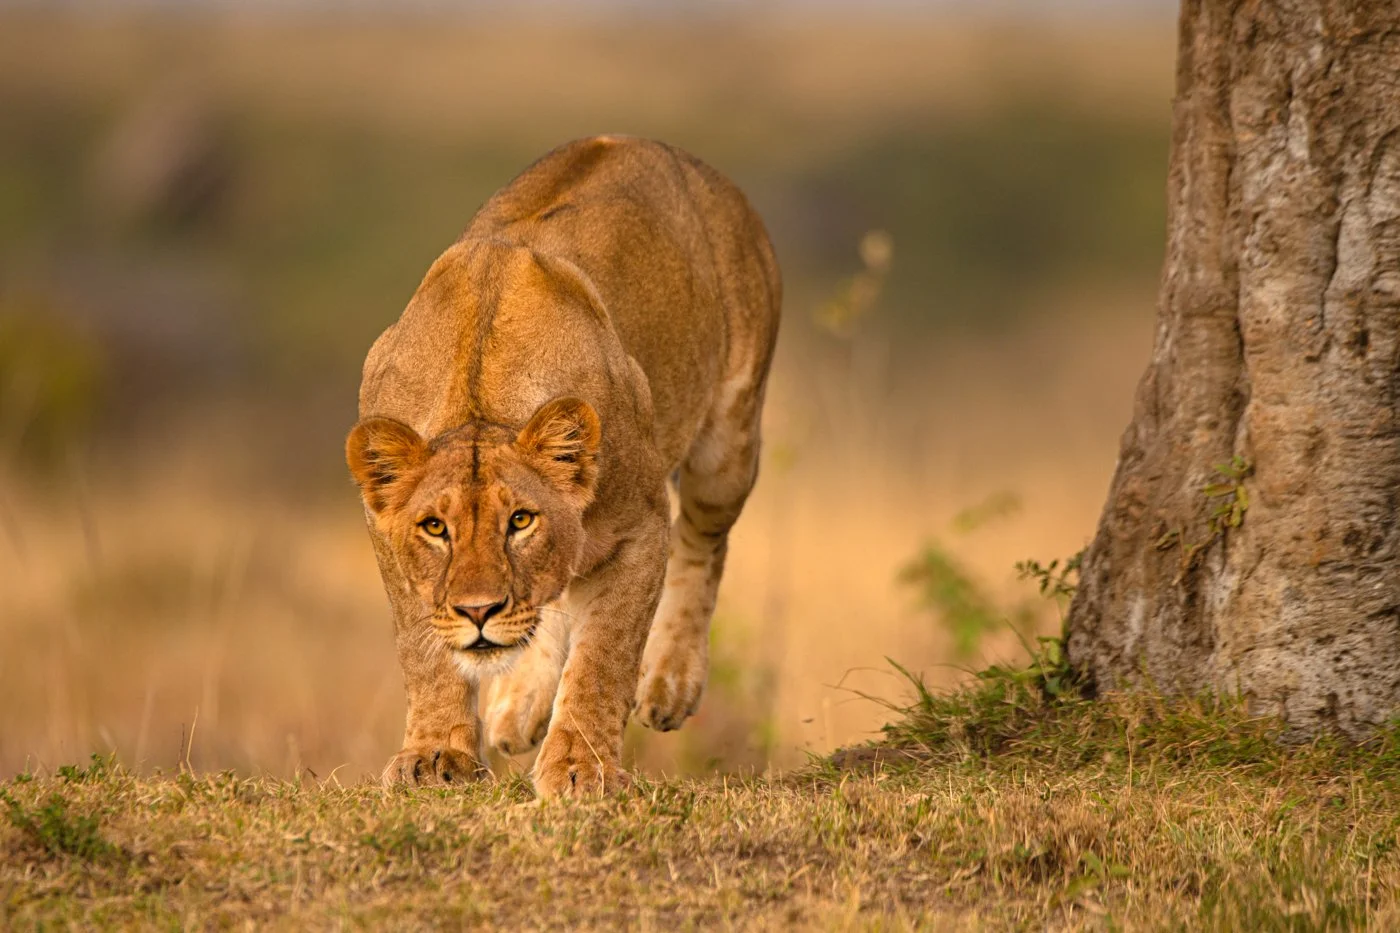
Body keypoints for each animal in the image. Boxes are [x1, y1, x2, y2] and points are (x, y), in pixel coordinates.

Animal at [346, 136, 780, 797]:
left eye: (521, 521)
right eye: (435, 528)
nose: (478, 612)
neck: (480, 398)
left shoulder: (639, 530)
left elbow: (603, 658)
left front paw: (581, 767)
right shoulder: (386, 535)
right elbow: (424, 653)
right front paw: (435, 755)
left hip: (728, 441)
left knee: (704, 541)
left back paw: (670, 681)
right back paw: (518, 707)